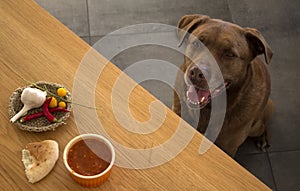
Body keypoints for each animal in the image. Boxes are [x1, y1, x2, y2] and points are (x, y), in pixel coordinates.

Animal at [173, 14, 274, 156]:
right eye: (197, 43)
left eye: (230, 54)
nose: (196, 73)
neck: (207, 110)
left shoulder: (228, 148)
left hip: (255, 127)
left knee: (263, 126)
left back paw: (262, 138)